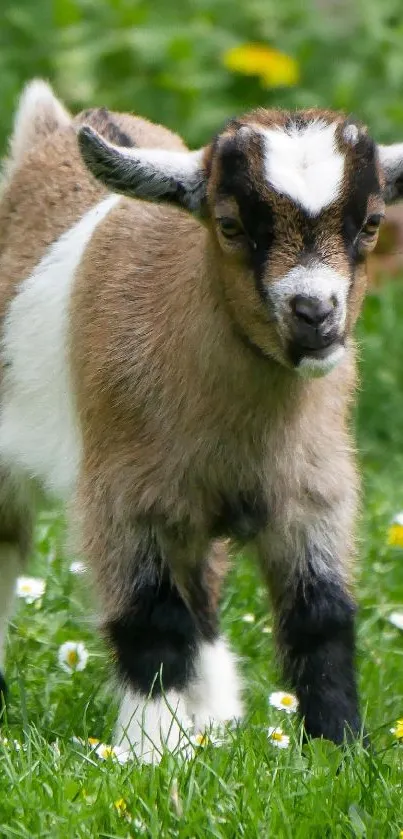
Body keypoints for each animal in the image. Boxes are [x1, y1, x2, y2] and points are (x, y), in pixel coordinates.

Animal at [0, 83, 403, 760]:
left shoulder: (313, 491)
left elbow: (322, 617)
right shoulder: (126, 498)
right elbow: (152, 621)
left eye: (371, 224)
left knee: (203, 589)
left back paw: (214, 718)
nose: (315, 313)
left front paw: (339, 749)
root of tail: (52, 131)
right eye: (231, 225)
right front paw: (146, 753)